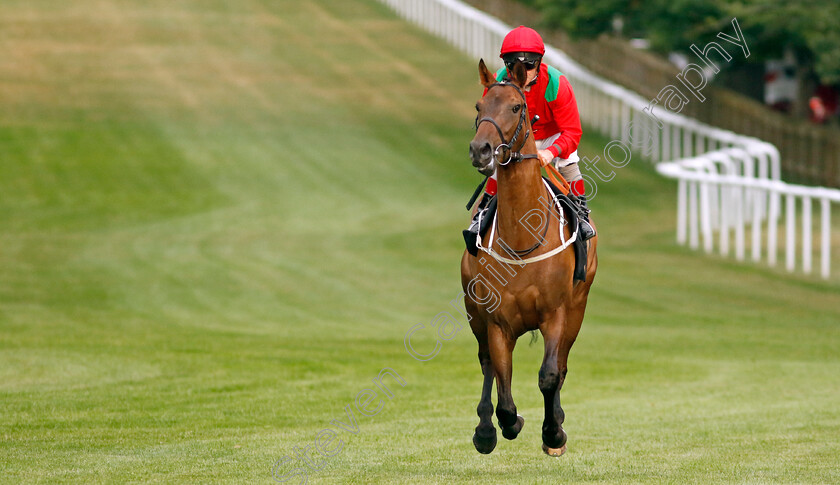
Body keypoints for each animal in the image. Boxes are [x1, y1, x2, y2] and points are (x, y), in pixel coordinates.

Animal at [460, 58, 596, 456]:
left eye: (517, 108)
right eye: (479, 106)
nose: (481, 150)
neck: (522, 240)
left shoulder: (556, 313)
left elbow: (550, 374)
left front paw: (553, 433)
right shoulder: (496, 321)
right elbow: (503, 388)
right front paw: (504, 425)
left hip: (578, 309)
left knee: (561, 364)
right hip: (473, 311)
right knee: (486, 364)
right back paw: (484, 430)